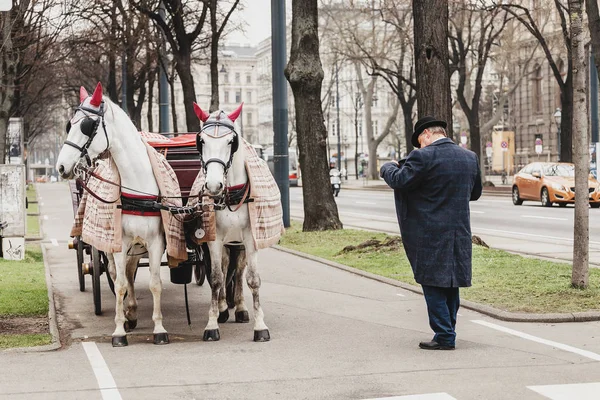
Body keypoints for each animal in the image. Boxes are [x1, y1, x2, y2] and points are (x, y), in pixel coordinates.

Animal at [56, 83, 169, 346]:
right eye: (69, 124)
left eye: (86, 126)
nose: (61, 166)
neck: (138, 186)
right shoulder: (119, 243)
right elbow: (119, 285)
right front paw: (119, 330)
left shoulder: (156, 242)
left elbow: (155, 284)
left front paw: (159, 329)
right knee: (118, 273)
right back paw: (128, 314)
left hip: (137, 245)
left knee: (130, 271)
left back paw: (133, 311)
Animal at [195, 102, 270, 340]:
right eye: (201, 141)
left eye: (231, 141)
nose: (213, 185)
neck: (231, 196)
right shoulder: (214, 238)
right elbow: (216, 278)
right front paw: (211, 324)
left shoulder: (250, 238)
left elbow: (252, 279)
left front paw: (260, 326)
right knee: (226, 266)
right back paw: (222, 308)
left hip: (239, 243)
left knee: (237, 271)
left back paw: (239, 307)